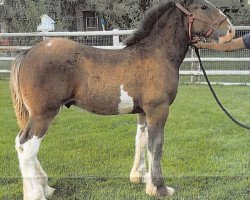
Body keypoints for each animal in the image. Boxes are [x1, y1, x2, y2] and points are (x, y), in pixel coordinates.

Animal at [11, 0, 234, 198]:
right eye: (204, 6)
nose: (230, 31)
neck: (156, 54)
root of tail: (28, 53)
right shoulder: (159, 110)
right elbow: (156, 145)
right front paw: (159, 188)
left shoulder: (144, 112)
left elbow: (142, 141)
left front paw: (140, 177)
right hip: (44, 114)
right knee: (26, 147)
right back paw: (37, 194)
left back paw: (45, 187)